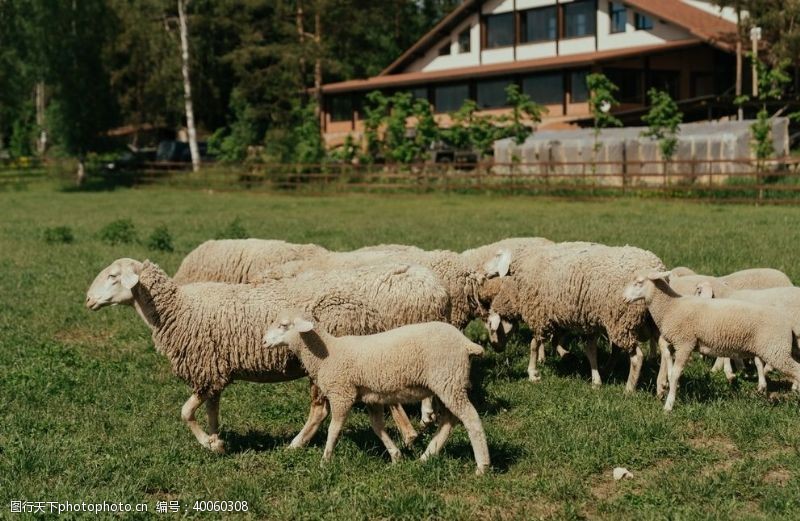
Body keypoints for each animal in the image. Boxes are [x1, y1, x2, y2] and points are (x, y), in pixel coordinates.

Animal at [88, 258, 454, 450]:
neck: (177, 309)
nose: (88, 300)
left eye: (113, 276)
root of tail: (365, 310)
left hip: (329, 363)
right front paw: (218, 438)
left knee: (320, 410)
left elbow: (186, 412)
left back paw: (295, 445)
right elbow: (212, 409)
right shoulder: (216, 370)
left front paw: (209, 443)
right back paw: (409, 434)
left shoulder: (207, 369)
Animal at [262, 308, 490, 476]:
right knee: (449, 420)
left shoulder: (342, 393)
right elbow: (377, 427)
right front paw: (396, 456)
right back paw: (426, 457)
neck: (327, 353)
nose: (264, 341)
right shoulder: (371, 396)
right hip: (446, 383)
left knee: (470, 418)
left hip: (449, 379)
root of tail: (466, 343)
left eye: (284, 325)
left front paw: (325, 461)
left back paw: (482, 466)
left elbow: (333, 429)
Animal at [482, 242, 664, 392]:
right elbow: (587, 350)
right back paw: (661, 385)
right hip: (651, 319)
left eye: (490, 326)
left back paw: (629, 388)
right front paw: (593, 377)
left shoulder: (540, 316)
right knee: (662, 349)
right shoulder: (582, 320)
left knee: (637, 357)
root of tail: (656, 267)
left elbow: (534, 344)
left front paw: (532, 373)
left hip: (622, 320)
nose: (495, 348)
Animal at [624, 268, 800, 410]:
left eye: (639, 282)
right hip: (783, 348)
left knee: (796, 370)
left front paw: (669, 405)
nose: (624, 298)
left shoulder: (685, 343)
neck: (671, 307)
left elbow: (675, 374)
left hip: (775, 350)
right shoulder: (674, 341)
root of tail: (788, 323)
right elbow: (667, 358)